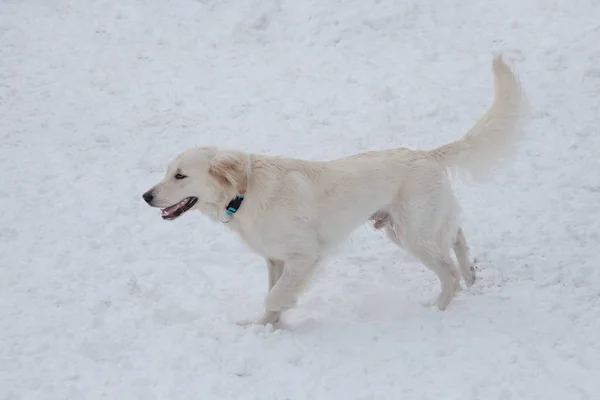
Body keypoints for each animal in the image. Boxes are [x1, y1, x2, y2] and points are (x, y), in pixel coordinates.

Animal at [144, 56, 524, 324]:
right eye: (167, 172)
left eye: (180, 176)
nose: (146, 197)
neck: (244, 194)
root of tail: (426, 154)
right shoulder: (275, 258)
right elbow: (270, 295)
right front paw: (264, 326)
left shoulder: (303, 255)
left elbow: (275, 295)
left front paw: (281, 310)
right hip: (406, 228)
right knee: (456, 234)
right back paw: (471, 272)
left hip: (414, 234)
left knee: (448, 273)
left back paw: (438, 309)